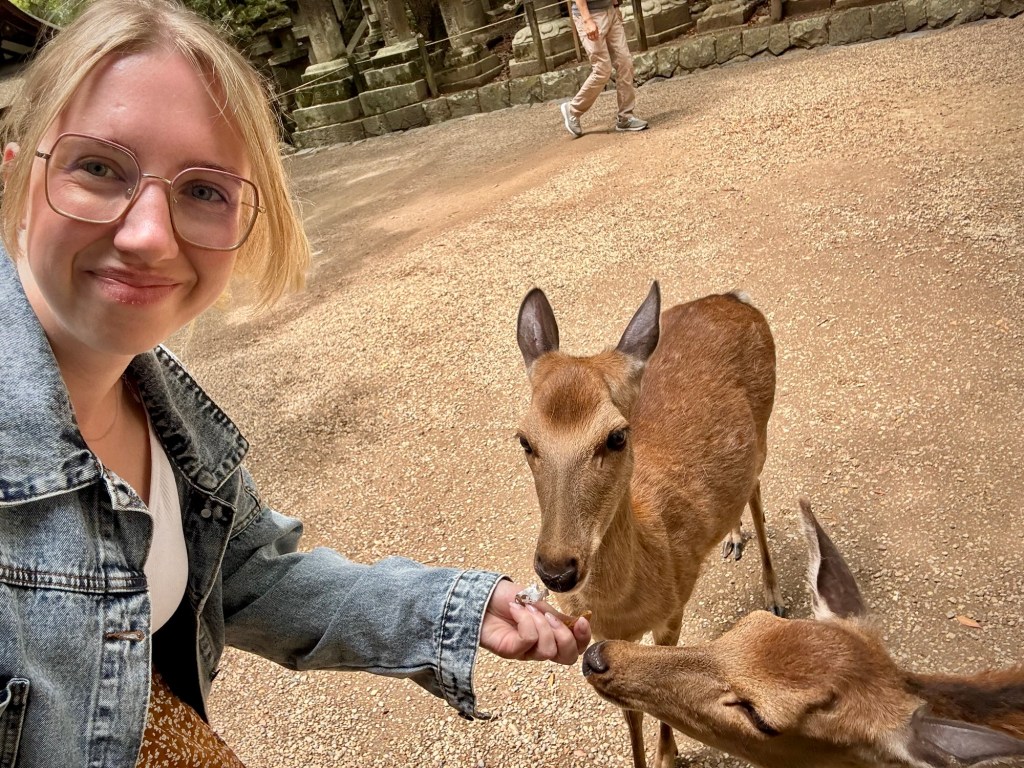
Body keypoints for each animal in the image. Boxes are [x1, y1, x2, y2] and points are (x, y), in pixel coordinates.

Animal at [515, 282, 784, 768]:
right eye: (525, 439)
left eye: (617, 436)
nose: (556, 570)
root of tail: (733, 298)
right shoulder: (604, 635)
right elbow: (629, 712)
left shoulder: (673, 610)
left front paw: (669, 756)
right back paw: (732, 538)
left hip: (765, 425)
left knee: (756, 491)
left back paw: (773, 595)